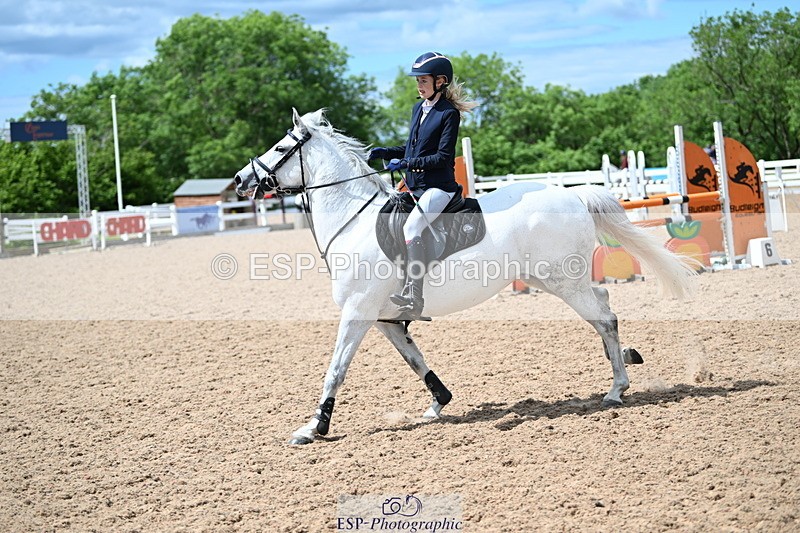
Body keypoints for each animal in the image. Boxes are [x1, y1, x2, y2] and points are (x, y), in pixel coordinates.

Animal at [234, 109, 697, 445]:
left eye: (280, 147)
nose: (240, 180)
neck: (355, 222)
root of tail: (572, 194)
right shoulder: (383, 319)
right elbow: (416, 360)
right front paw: (438, 404)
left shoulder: (357, 313)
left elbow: (336, 369)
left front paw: (314, 428)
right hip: (552, 279)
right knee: (603, 307)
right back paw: (625, 362)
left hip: (563, 281)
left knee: (605, 317)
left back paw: (617, 388)